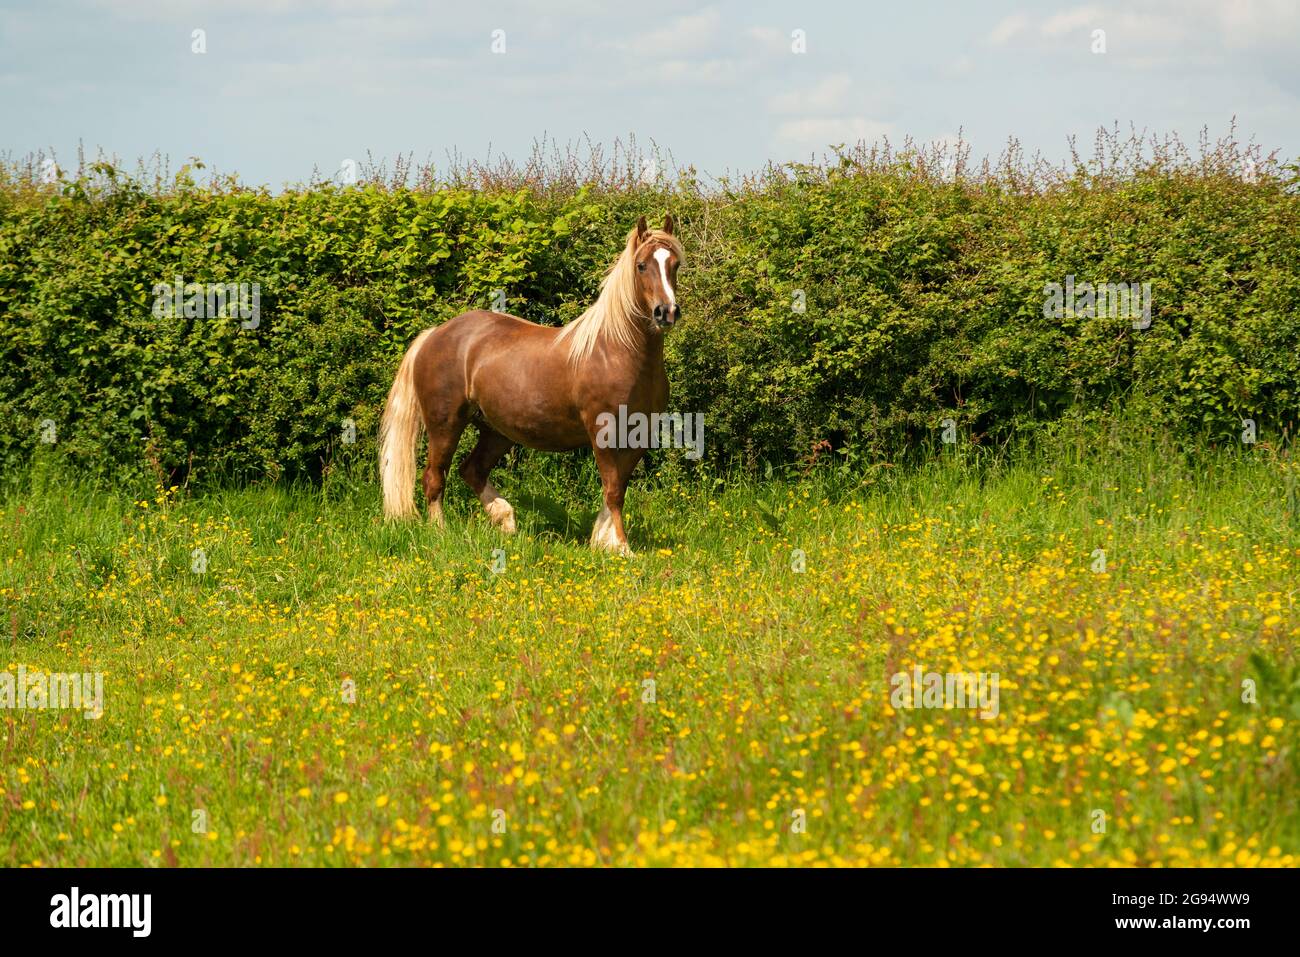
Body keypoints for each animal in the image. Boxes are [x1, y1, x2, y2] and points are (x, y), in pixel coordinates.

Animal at [379, 215, 683, 556]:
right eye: (642, 265)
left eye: (674, 264)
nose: (667, 312)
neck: (617, 351)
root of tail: (433, 334)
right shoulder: (603, 433)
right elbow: (614, 489)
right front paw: (620, 546)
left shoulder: (639, 434)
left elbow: (616, 489)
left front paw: (601, 540)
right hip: (444, 424)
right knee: (434, 477)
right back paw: (440, 532)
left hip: (496, 431)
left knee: (471, 470)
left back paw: (506, 520)